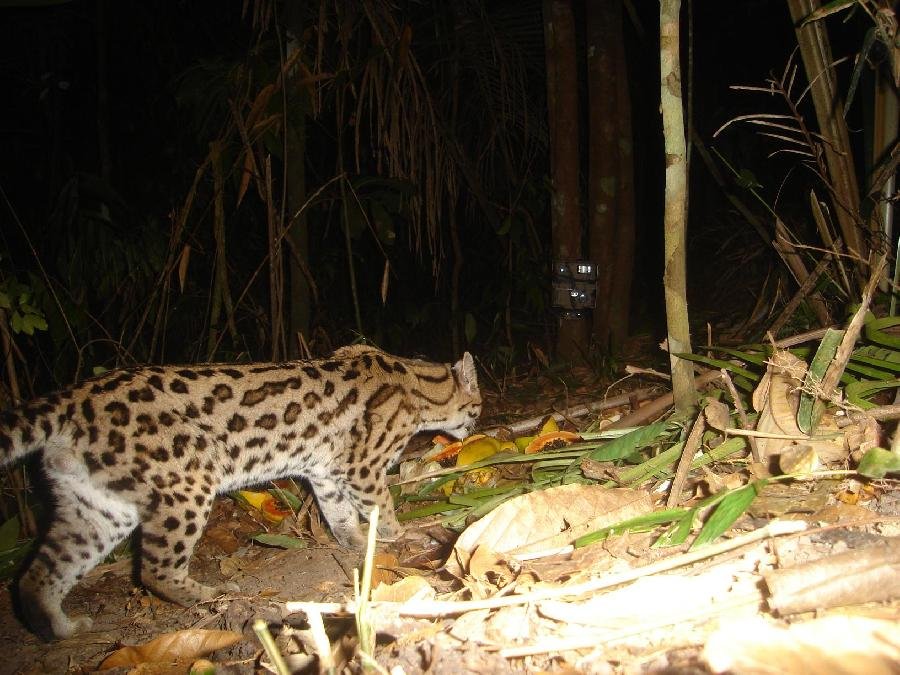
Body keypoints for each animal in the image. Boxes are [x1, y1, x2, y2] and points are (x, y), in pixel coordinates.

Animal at [0, 346, 482, 640]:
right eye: (477, 407)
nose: (476, 423)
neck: (414, 382)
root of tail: (73, 398)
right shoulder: (360, 466)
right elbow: (380, 505)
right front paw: (399, 534)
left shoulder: (326, 472)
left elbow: (341, 515)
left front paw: (358, 542)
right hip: (186, 484)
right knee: (155, 570)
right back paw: (211, 598)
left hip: (97, 508)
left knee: (38, 574)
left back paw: (59, 627)